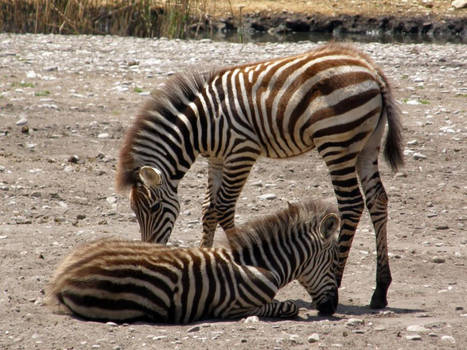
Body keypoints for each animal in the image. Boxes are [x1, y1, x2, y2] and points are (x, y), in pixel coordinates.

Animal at [46, 198, 340, 324]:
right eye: (335, 262)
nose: (331, 309)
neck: (259, 264)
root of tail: (63, 275)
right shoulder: (234, 308)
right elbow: (289, 306)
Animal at [118, 43, 406, 308]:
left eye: (154, 208)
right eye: (134, 211)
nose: (148, 252)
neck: (201, 125)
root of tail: (372, 69)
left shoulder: (242, 151)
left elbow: (223, 208)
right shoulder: (216, 159)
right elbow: (208, 209)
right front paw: (204, 256)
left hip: (337, 142)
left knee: (351, 204)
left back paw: (336, 280)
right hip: (367, 143)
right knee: (377, 200)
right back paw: (380, 291)